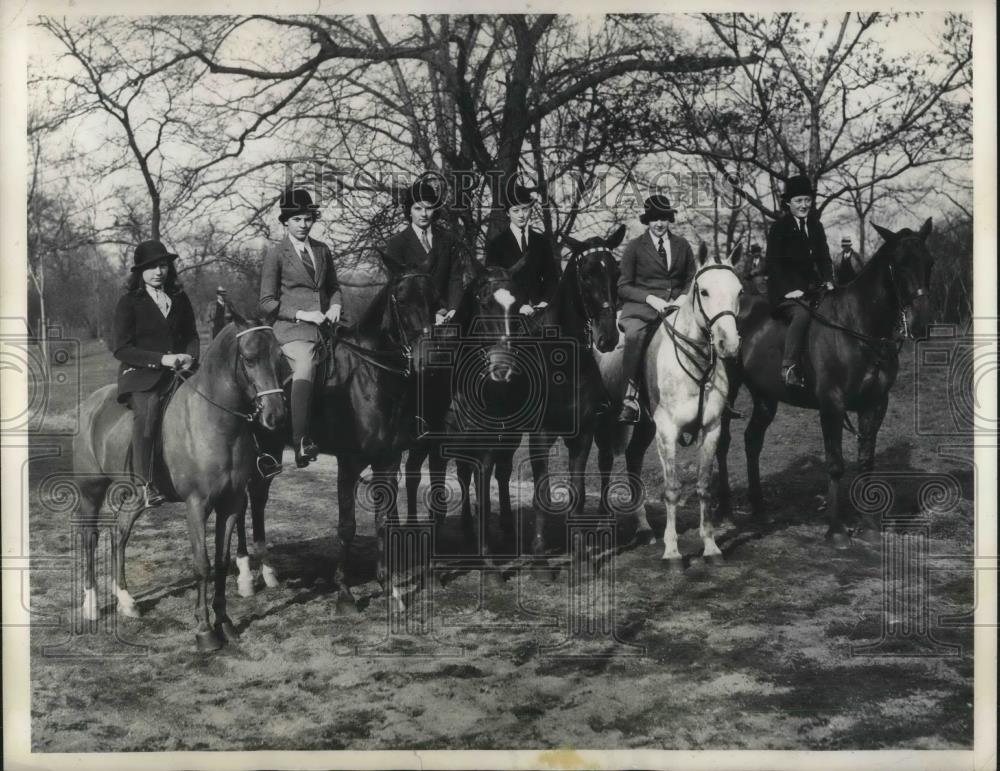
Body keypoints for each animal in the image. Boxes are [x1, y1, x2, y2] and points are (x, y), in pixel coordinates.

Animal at [73, 314, 286, 652]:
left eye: (280, 357)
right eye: (250, 358)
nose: (276, 416)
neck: (214, 421)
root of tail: (90, 403)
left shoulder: (231, 503)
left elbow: (221, 562)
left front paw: (225, 623)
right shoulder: (196, 505)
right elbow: (202, 565)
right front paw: (204, 631)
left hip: (135, 497)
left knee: (119, 534)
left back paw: (126, 601)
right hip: (90, 493)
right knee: (90, 538)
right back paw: (91, 605)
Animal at [632, 247, 744, 568]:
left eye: (740, 291)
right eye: (703, 291)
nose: (729, 345)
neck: (696, 364)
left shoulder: (711, 428)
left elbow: (704, 486)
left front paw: (711, 547)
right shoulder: (667, 431)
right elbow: (671, 489)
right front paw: (672, 552)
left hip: (645, 427)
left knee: (632, 458)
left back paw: (643, 528)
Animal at [720, 219, 936, 548]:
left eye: (929, 262)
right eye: (898, 264)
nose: (921, 324)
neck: (858, 327)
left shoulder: (875, 404)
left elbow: (865, 461)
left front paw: (869, 527)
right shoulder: (831, 404)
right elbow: (835, 464)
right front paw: (836, 531)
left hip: (765, 397)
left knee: (752, 440)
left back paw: (759, 508)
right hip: (726, 390)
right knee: (721, 442)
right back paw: (724, 512)